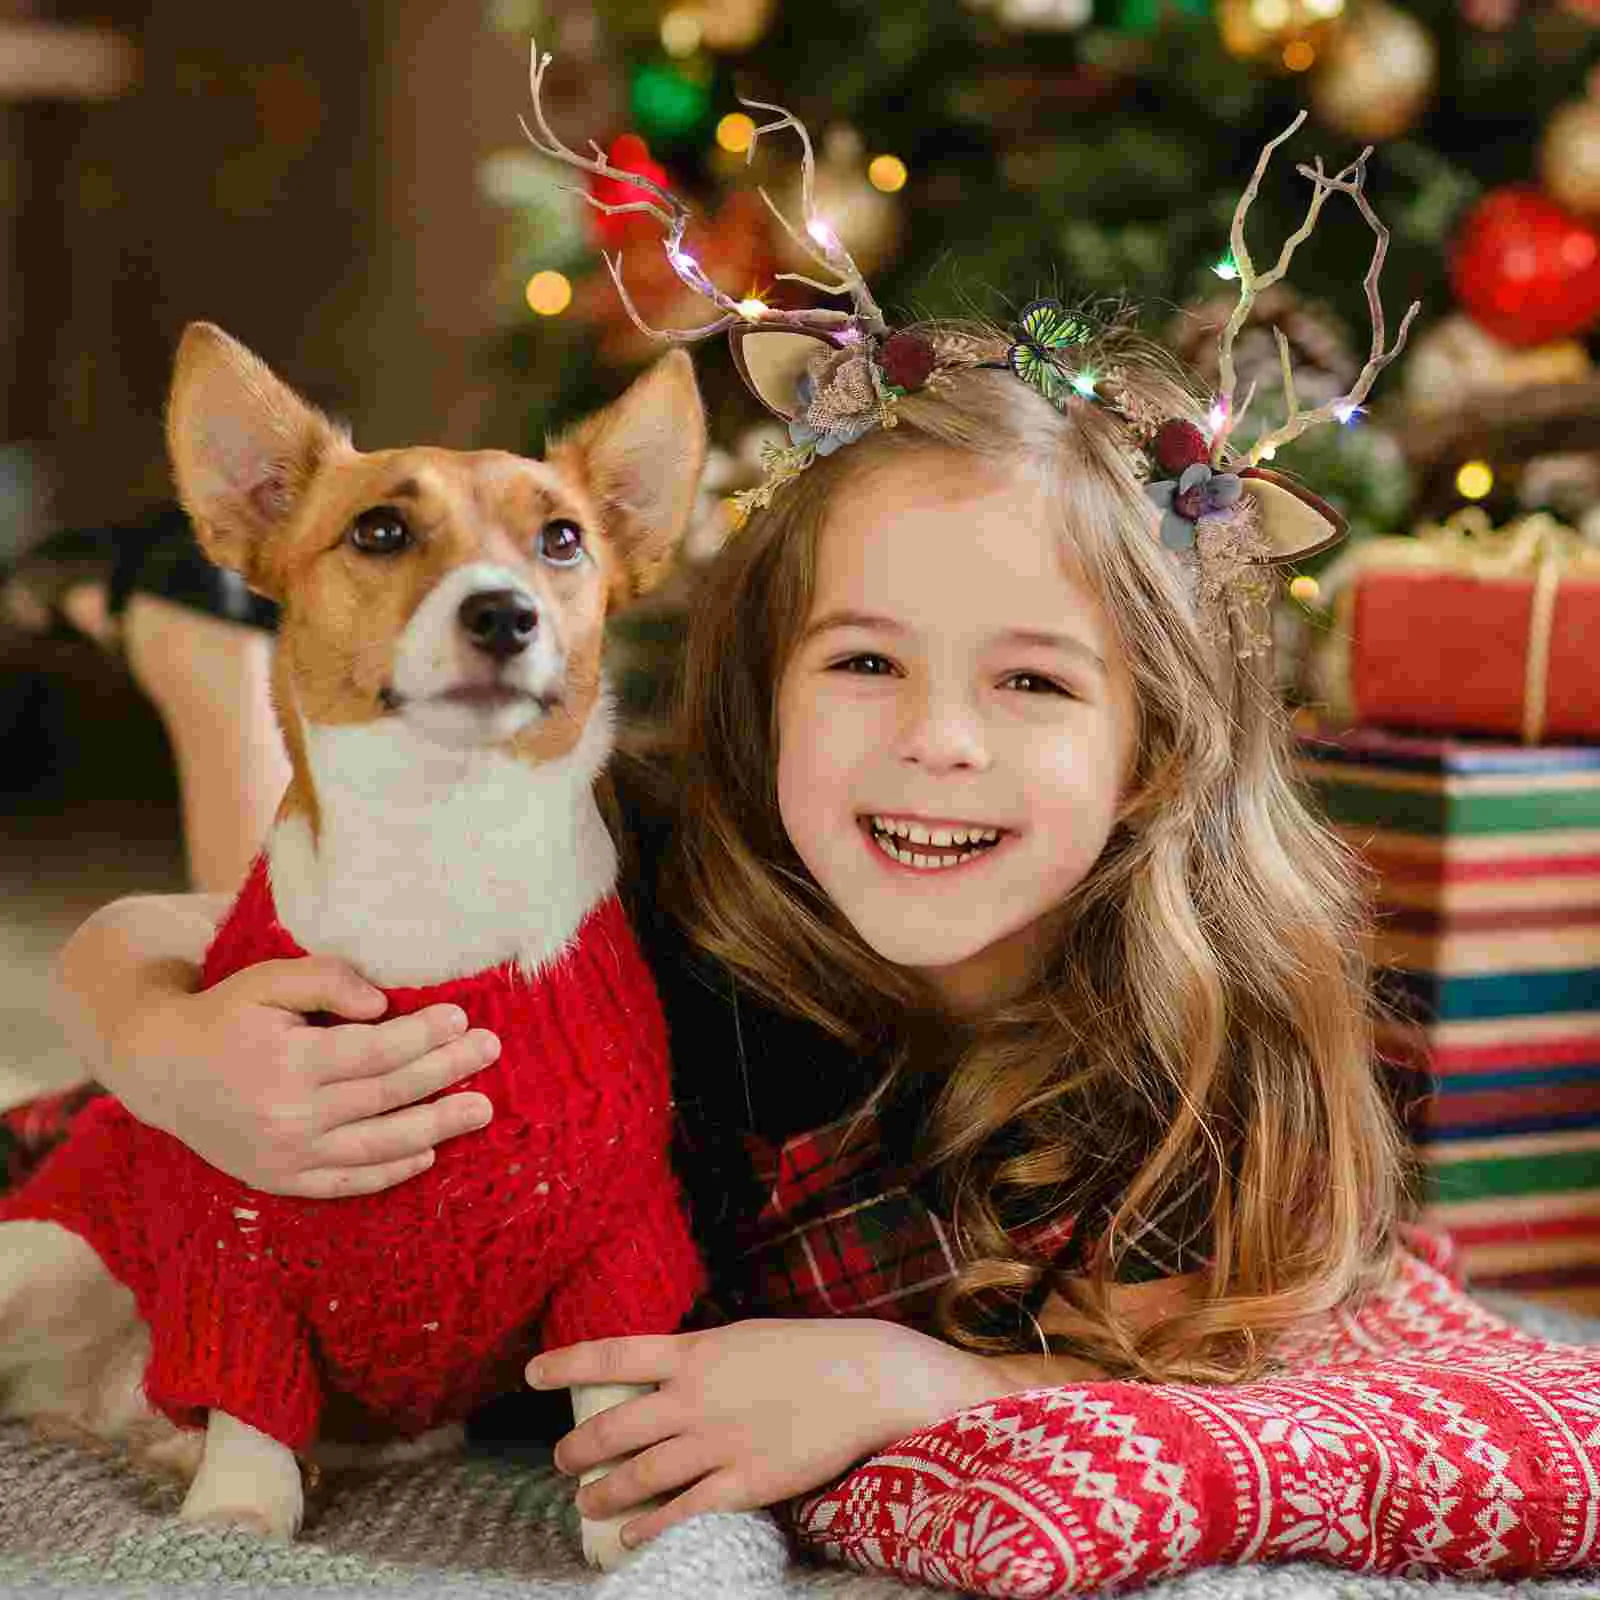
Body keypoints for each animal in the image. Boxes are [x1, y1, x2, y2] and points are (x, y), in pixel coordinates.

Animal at [0, 318, 707, 1568]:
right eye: (380, 529)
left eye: (562, 538)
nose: (505, 613)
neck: (439, 839)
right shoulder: (237, 1253)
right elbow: (247, 1412)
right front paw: (234, 1524)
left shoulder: (616, 1242)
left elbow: (614, 1392)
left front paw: (634, 1528)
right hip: (40, 1261)